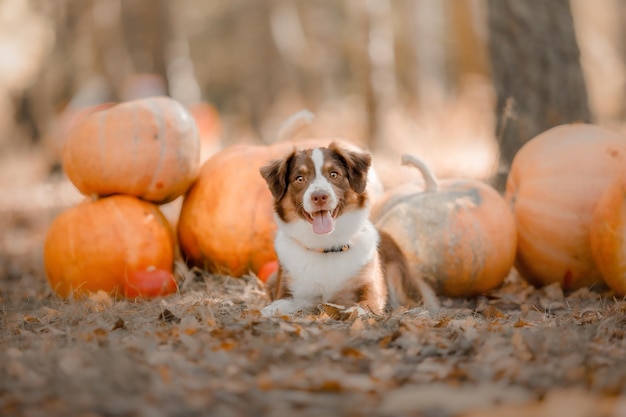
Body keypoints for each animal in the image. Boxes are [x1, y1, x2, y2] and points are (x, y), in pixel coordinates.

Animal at [258, 141, 414, 316]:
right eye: (299, 178)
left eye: (334, 174)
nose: (319, 197)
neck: (326, 245)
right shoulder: (293, 293)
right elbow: (275, 306)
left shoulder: (372, 290)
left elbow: (365, 304)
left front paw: (354, 311)